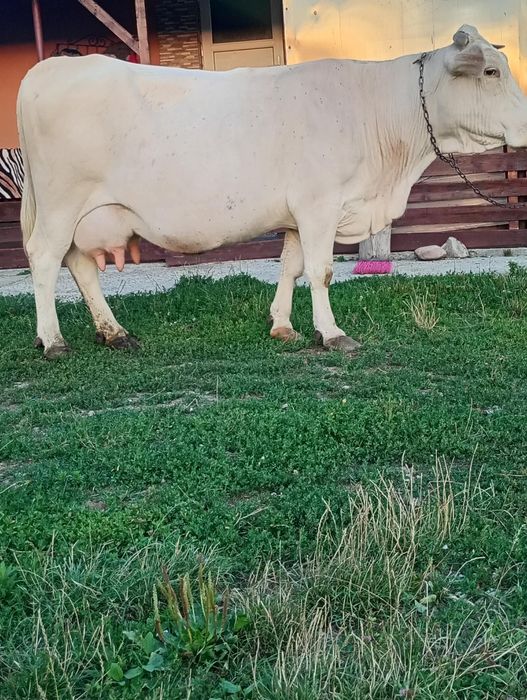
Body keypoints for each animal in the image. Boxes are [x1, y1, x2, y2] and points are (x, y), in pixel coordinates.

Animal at [17, 24, 527, 358]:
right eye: (491, 73)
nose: (525, 124)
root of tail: (49, 68)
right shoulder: (320, 205)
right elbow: (321, 271)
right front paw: (332, 333)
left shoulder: (298, 213)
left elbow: (291, 266)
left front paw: (283, 326)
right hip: (62, 204)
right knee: (45, 259)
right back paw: (54, 341)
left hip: (82, 212)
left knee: (79, 265)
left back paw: (114, 333)